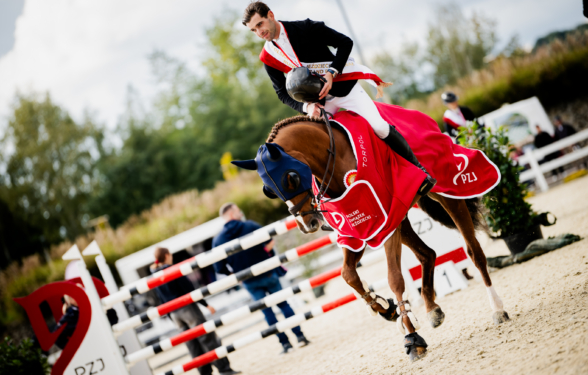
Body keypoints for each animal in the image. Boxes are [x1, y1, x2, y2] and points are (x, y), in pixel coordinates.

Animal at [234, 116, 510, 362]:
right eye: (268, 191)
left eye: (291, 177)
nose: (306, 225)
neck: (336, 162)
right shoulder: (359, 231)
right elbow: (348, 274)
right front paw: (385, 307)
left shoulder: (387, 225)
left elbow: (395, 279)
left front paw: (412, 339)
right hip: (403, 217)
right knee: (428, 254)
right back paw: (432, 309)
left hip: (447, 193)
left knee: (473, 251)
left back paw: (498, 308)